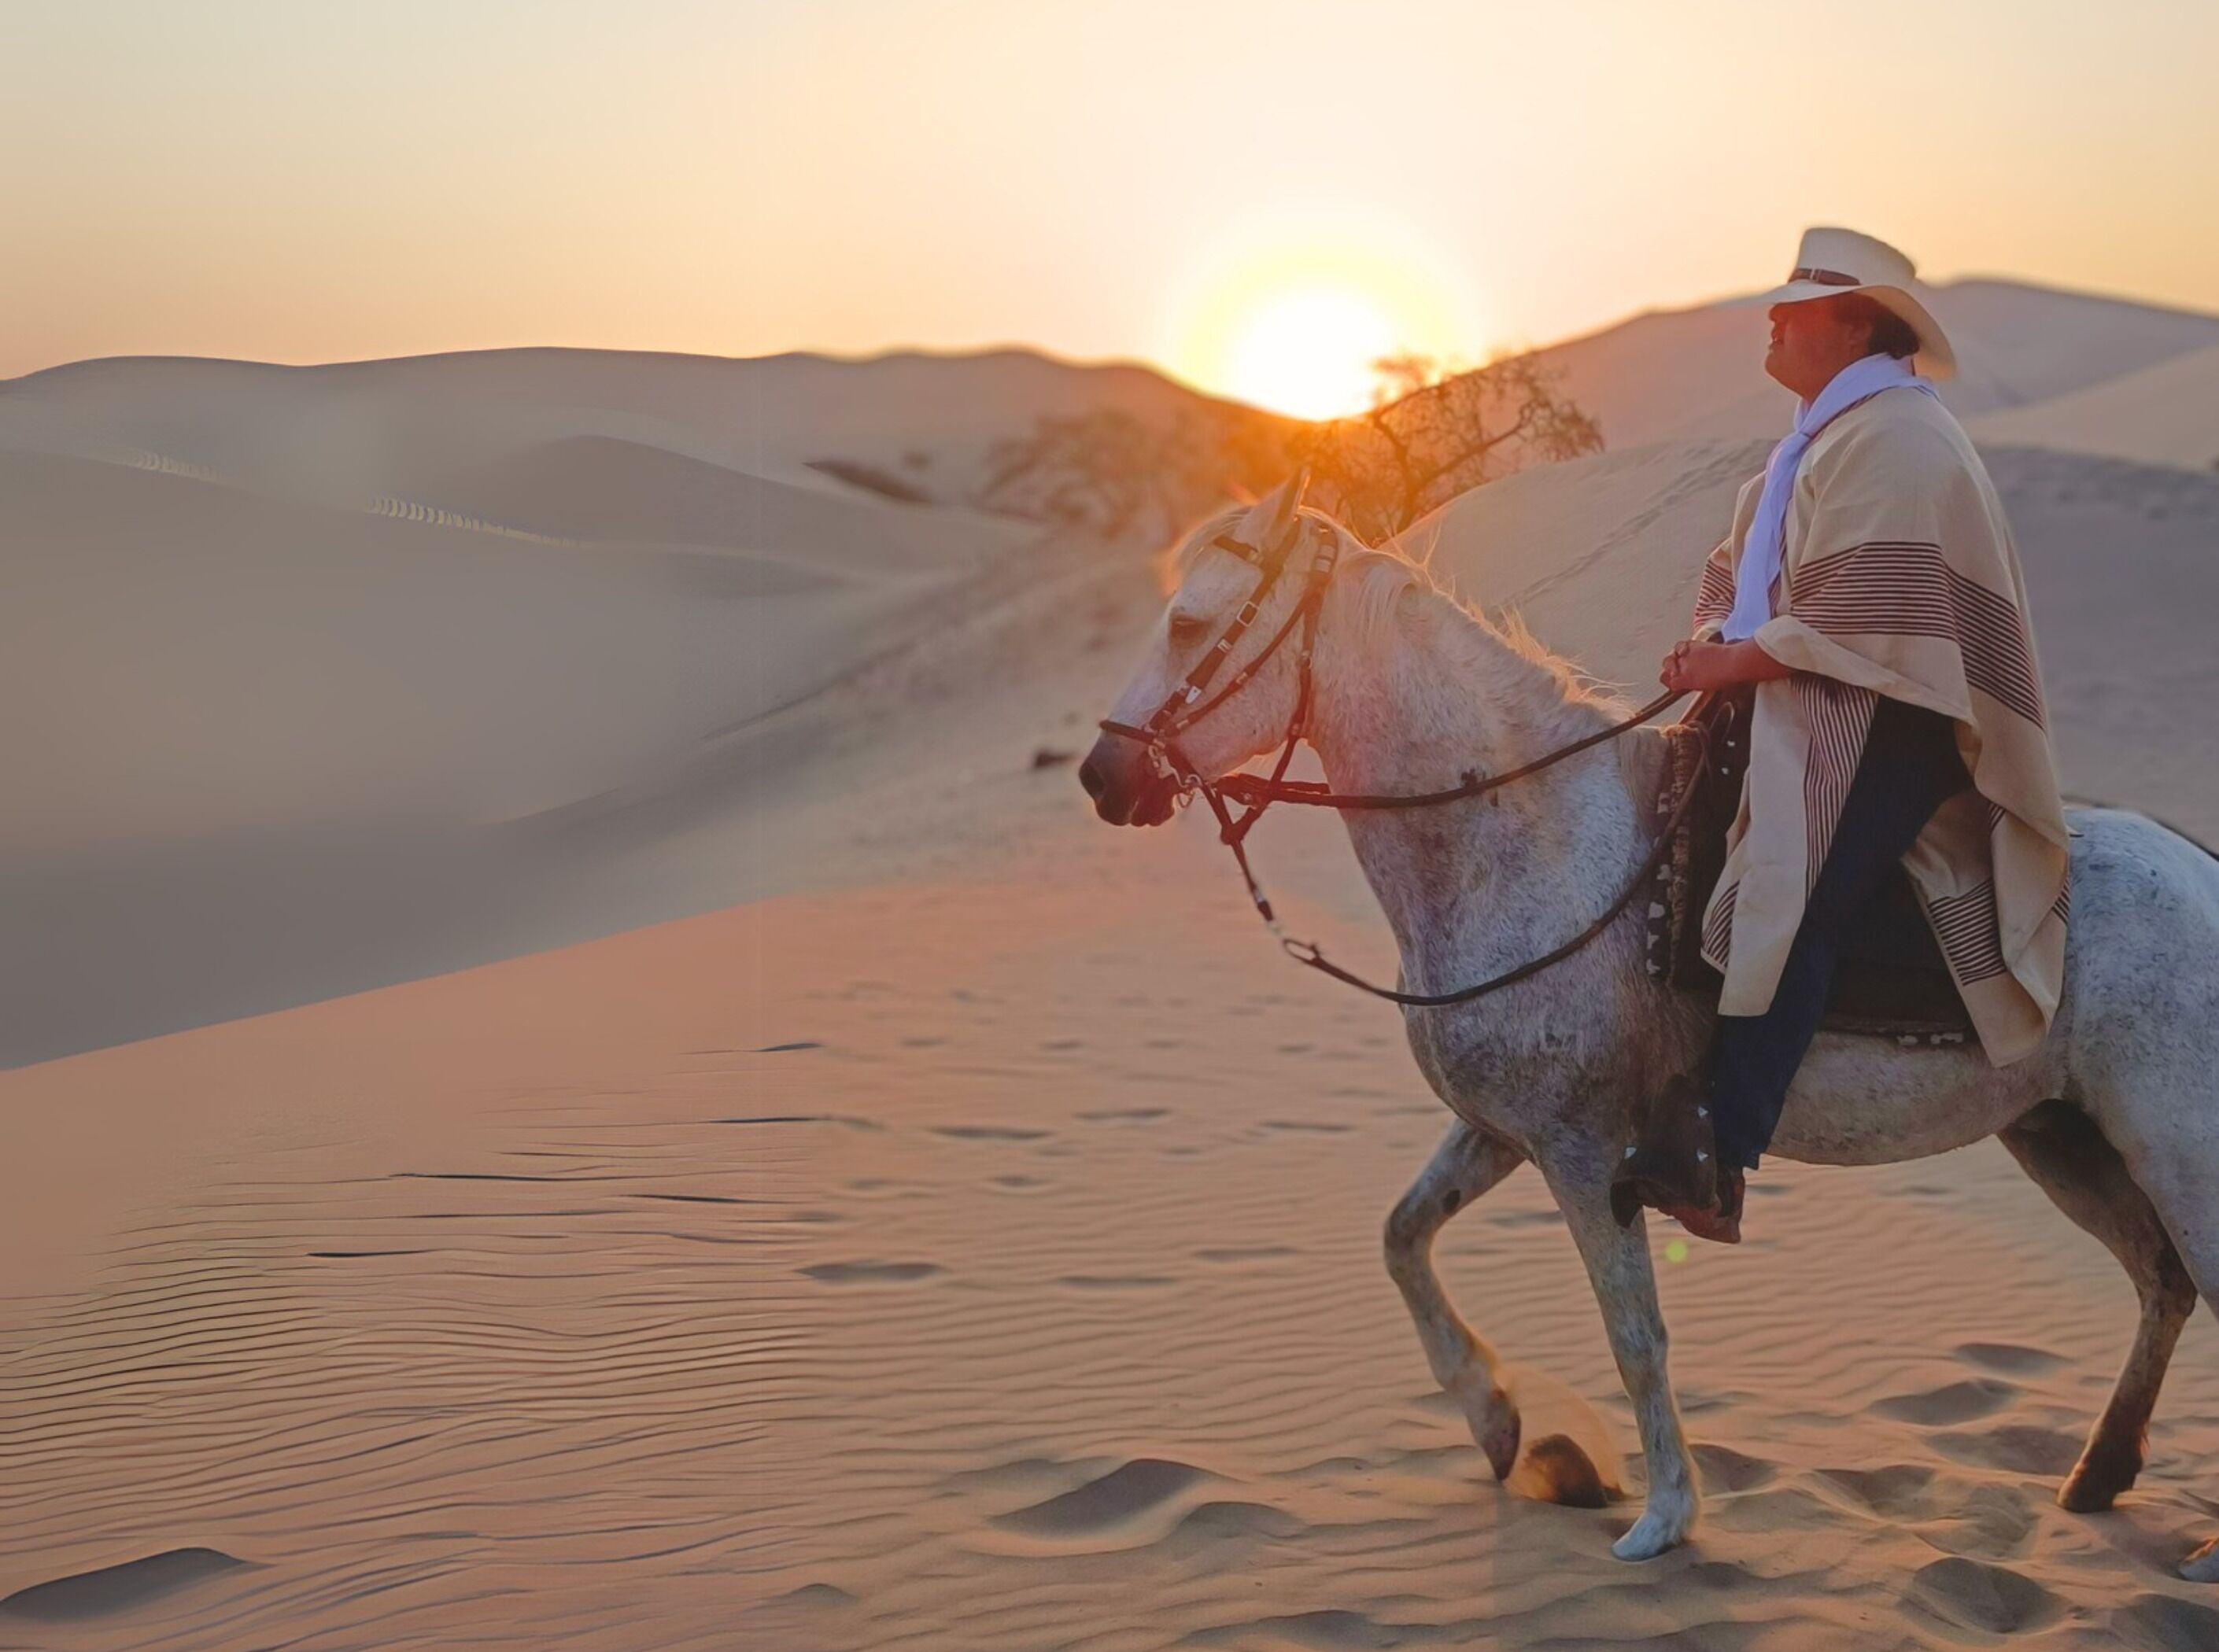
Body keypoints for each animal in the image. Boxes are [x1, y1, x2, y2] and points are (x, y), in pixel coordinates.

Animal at [1077, 478, 2219, 1578]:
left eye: (1188, 623)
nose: (1101, 777)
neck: (1525, 845)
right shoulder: (1504, 1131)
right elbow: (1403, 1239)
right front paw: (1504, 1430)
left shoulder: (1589, 1157)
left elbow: (1636, 1335)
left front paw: (1665, 1517)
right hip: (2062, 1138)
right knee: (2162, 1282)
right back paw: (2099, 1474)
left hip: (2176, 1149)